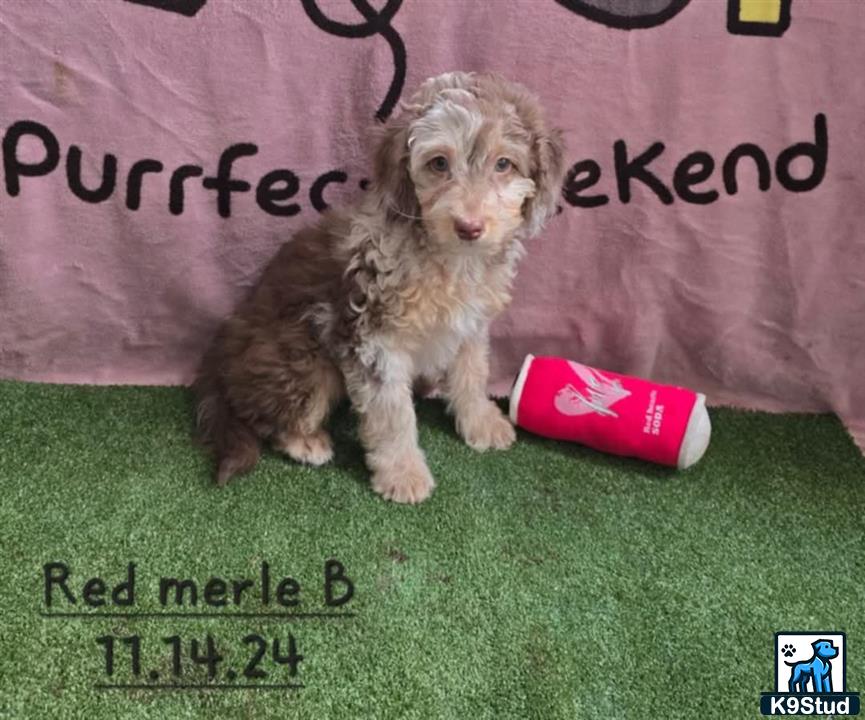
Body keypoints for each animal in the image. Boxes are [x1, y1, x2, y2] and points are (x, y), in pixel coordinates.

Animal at [192, 71, 564, 500]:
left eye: (504, 163)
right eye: (439, 163)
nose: (469, 227)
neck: (450, 259)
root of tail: (218, 359)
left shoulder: (471, 324)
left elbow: (472, 372)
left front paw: (480, 422)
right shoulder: (374, 337)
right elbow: (392, 412)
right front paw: (403, 474)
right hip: (304, 358)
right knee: (267, 416)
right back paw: (306, 442)